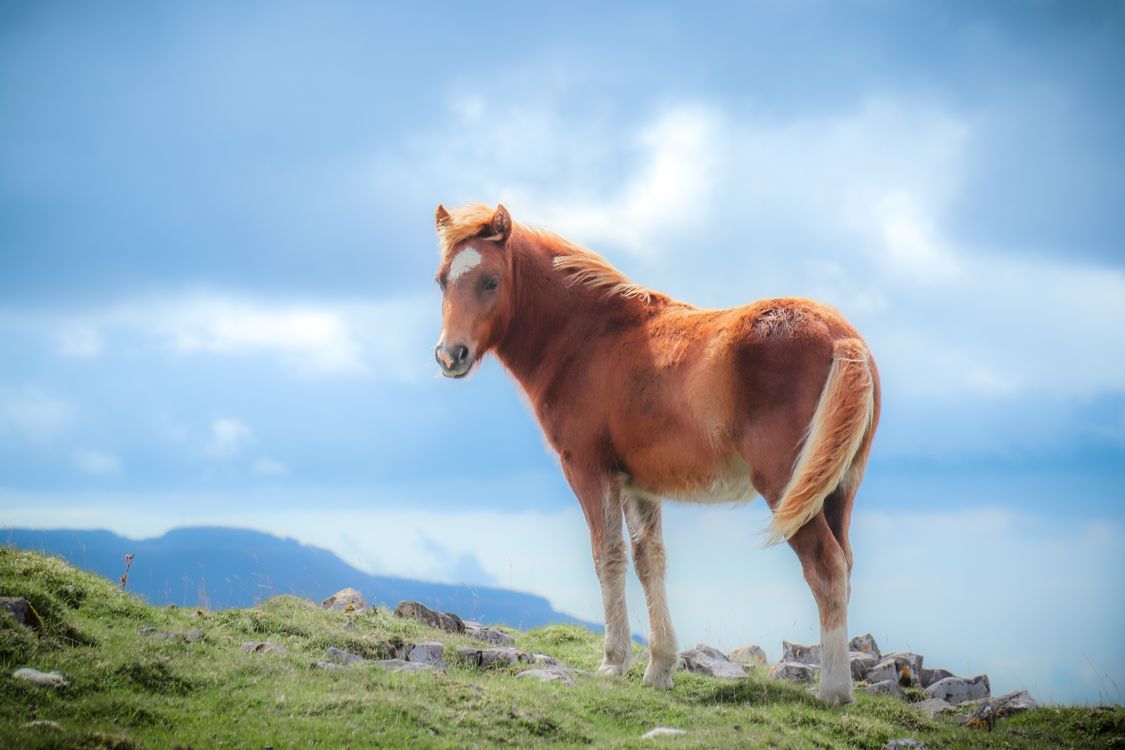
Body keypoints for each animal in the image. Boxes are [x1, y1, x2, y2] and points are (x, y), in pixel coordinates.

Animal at [431, 202, 880, 704]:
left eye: (491, 281)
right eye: (442, 280)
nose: (450, 355)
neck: (588, 338)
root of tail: (841, 338)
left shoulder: (589, 470)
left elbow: (607, 556)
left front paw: (612, 663)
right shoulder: (638, 485)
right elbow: (650, 560)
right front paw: (659, 668)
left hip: (786, 487)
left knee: (825, 568)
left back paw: (833, 691)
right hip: (836, 490)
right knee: (844, 564)